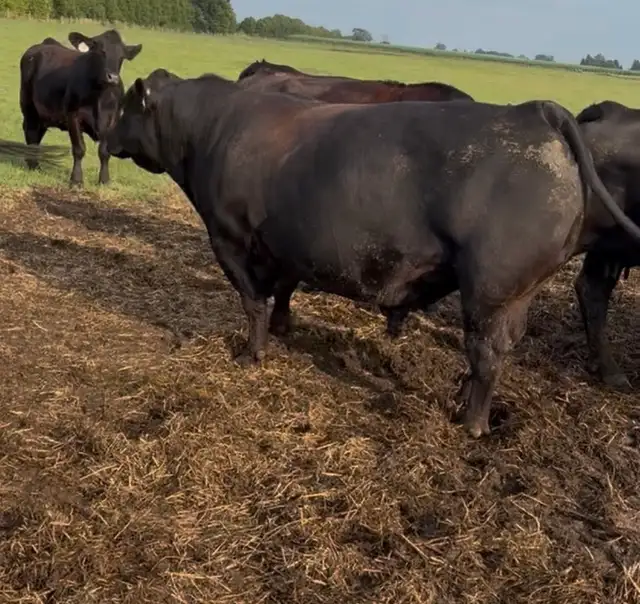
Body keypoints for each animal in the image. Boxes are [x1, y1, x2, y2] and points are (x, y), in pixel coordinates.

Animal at [19, 29, 142, 187]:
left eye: (122, 57)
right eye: (100, 51)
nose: (112, 78)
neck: (100, 97)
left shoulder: (113, 120)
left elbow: (104, 152)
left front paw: (104, 180)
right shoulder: (73, 116)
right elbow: (79, 149)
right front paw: (76, 180)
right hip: (28, 105)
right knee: (31, 131)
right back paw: (33, 165)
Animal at [105, 70, 640, 438]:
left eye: (127, 107)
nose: (103, 138)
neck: (214, 128)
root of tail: (534, 111)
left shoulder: (229, 238)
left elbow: (252, 302)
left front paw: (251, 354)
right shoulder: (286, 243)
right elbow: (282, 290)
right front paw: (281, 330)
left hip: (491, 290)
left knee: (486, 353)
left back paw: (472, 423)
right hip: (516, 293)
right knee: (496, 350)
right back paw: (463, 400)